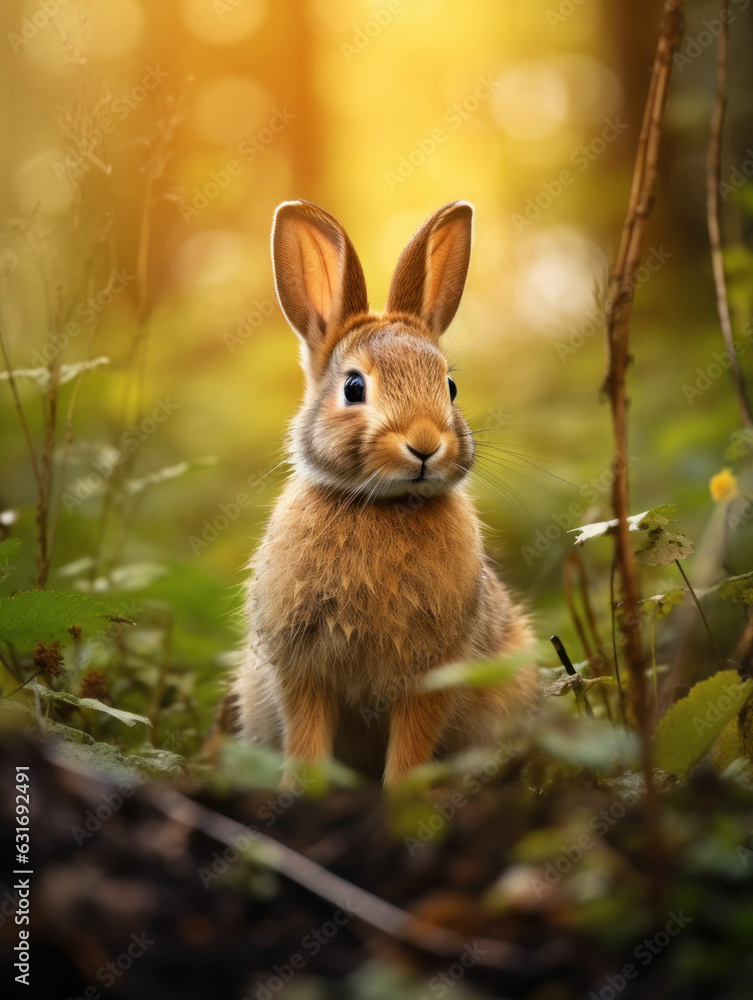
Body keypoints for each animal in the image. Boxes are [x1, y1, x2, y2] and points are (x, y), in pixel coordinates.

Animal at [219, 199, 539, 786]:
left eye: (450, 386)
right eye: (353, 388)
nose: (425, 444)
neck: (385, 506)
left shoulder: (433, 672)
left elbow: (411, 747)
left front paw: (402, 797)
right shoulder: (301, 667)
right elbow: (306, 737)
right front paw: (302, 792)